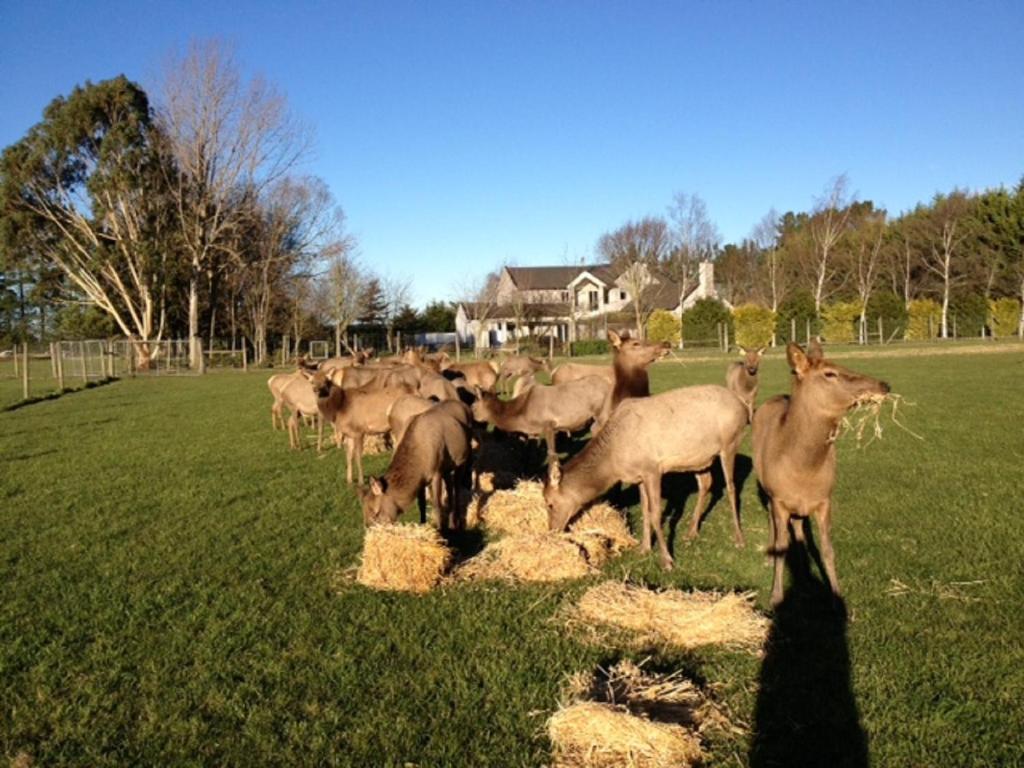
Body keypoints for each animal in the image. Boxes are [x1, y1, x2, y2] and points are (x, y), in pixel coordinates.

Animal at [358, 399, 473, 532]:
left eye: (376, 513)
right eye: (364, 512)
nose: (369, 529)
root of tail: (466, 406)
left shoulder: (436, 472)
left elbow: (437, 505)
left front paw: (440, 529)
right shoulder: (422, 479)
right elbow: (421, 503)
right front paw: (423, 523)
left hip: (462, 460)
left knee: (457, 489)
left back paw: (457, 523)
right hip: (447, 467)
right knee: (450, 488)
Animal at [468, 376, 606, 460]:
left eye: (473, 407)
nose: (472, 422)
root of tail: (607, 383)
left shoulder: (549, 426)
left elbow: (552, 454)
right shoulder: (534, 432)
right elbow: (531, 452)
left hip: (602, 413)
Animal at [544, 385, 753, 573]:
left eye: (550, 504)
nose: (552, 530)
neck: (614, 461)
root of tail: (743, 405)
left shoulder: (652, 469)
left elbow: (656, 514)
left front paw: (667, 560)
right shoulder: (639, 476)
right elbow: (645, 511)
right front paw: (644, 548)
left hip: (730, 443)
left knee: (731, 487)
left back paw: (739, 539)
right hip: (701, 459)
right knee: (707, 483)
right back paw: (692, 532)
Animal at [753, 342, 888, 606]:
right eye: (829, 373)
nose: (884, 385)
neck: (804, 471)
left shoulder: (825, 499)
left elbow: (827, 549)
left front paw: (837, 594)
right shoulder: (779, 499)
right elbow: (781, 546)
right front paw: (776, 596)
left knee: (797, 528)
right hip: (764, 489)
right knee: (771, 521)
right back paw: (768, 554)